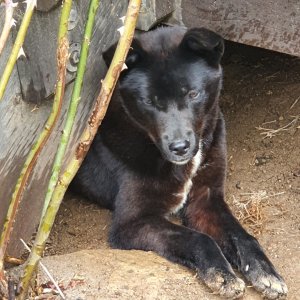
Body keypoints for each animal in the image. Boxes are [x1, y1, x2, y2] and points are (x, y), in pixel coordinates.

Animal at [71, 27, 288, 298]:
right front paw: (221, 274)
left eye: (193, 94)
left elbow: (242, 236)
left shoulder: (205, 199)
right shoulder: (131, 222)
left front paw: (265, 271)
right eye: (149, 102)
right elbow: (197, 238)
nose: (180, 147)